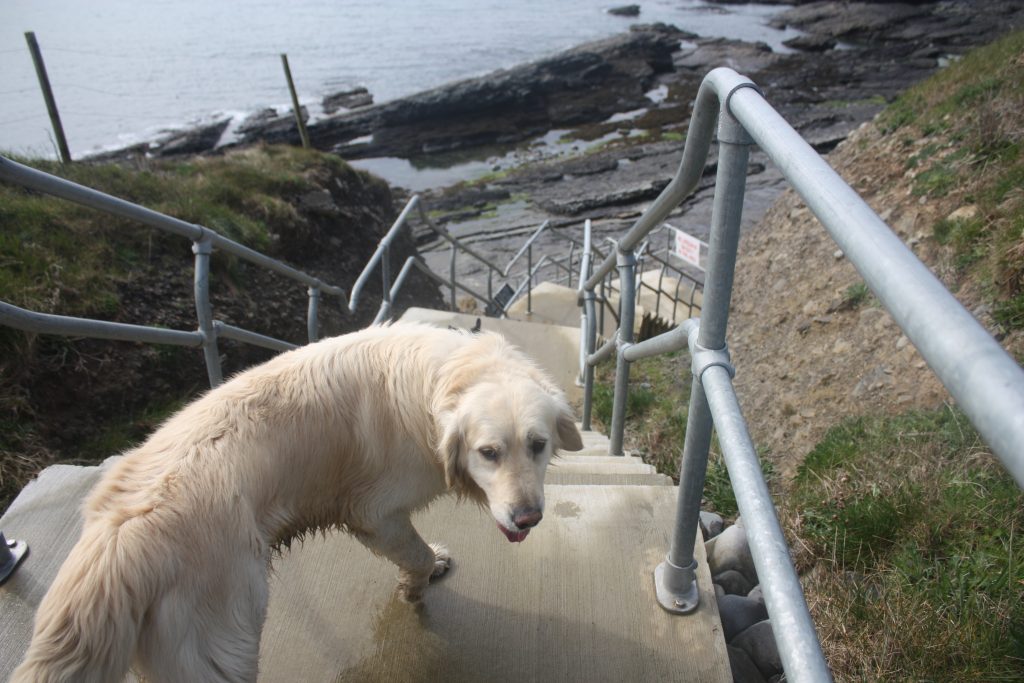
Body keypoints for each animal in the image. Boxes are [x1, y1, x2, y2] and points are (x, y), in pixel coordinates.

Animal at [14, 323, 585, 679]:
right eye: (489, 452)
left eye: (538, 445)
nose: (528, 518)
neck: (441, 381)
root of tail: (121, 535)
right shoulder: (374, 513)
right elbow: (414, 554)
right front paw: (415, 587)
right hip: (227, 637)